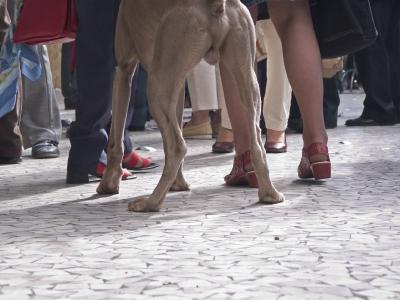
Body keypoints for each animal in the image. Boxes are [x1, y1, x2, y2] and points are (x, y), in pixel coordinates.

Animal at [97, 0, 284, 212]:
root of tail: (216, 4)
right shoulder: (177, 85)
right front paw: (178, 184)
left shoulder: (124, 70)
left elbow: (115, 139)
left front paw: (109, 183)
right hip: (245, 77)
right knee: (256, 143)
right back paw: (270, 194)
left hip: (157, 83)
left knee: (178, 146)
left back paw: (151, 202)